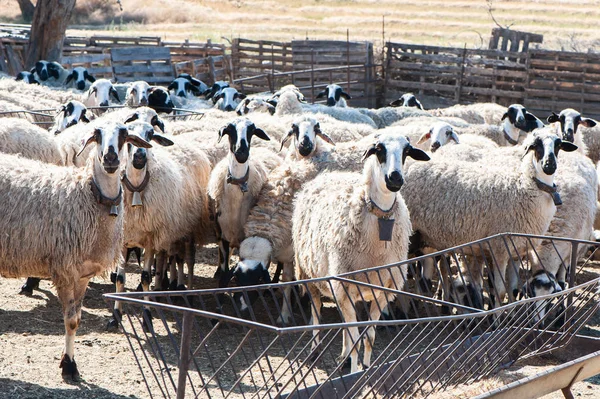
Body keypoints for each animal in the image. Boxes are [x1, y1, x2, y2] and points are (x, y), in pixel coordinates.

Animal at [0, 122, 152, 382]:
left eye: (124, 135)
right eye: (97, 134)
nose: (110, 158)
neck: (88, 194)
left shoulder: (83, 274)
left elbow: (77, 320)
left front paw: (69, 363)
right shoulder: (64, 269)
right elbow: (70, 321)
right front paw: (69, 366)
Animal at [292, 133, 428, 374]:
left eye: (406, 151)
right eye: (379, 149)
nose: (395, 178)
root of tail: (329, 175)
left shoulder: (381, 291)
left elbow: (368, 337)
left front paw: (364, 367)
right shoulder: (343, 286)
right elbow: (356, 338)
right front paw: (355, 373)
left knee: (345, 322)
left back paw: (344, 357)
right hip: (309, 272)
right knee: (316, 311)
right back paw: (315, 351)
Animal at [400, 130, 580, 308]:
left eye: (558, 145)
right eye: (535, 145)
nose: (549, 165)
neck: (526, 187)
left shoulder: (516, 251)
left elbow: (512, 289)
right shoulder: (499, 248)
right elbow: (500, 292)